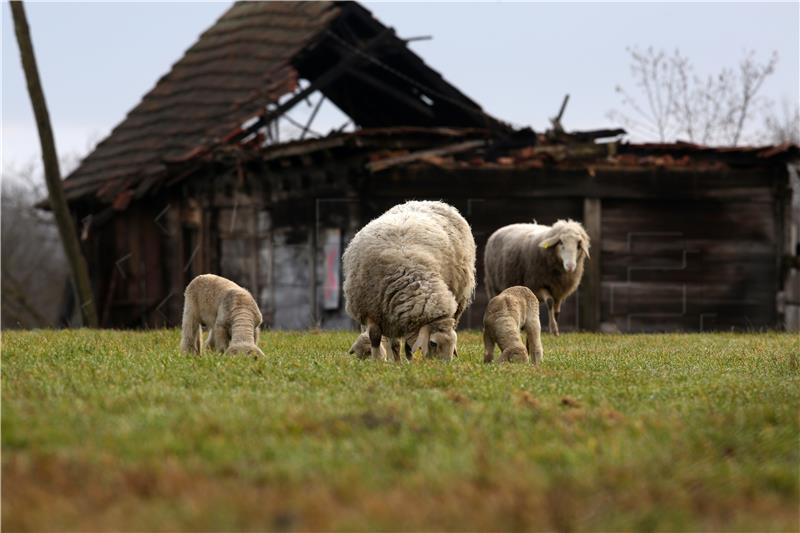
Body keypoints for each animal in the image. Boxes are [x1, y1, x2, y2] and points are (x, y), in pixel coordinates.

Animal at [342, 201, 476, 362]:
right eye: (433, 343)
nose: (444, 366)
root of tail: (434, 202)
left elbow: (408, 345)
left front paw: (408, 362)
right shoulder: (376, 310)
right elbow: (377, 337)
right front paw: (381, 361)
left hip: (460, 298)